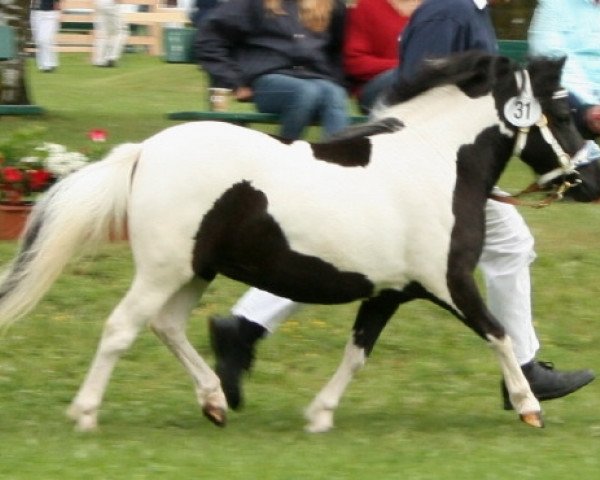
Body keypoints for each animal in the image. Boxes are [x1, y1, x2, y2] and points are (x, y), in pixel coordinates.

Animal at [0, 51, 592, 432]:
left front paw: (319, 415)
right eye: (564, 113)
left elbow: (357, 355)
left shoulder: (389, 292)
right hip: (164, 269)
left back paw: (215, 401)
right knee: (121, 328)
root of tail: (145, 151)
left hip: (194, 270)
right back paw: (85, 413)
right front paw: (530, 407)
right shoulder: (448, 281)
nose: (590, 182)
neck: (436, 163)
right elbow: (500, 335)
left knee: (166, 326)